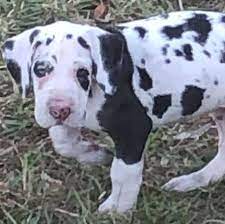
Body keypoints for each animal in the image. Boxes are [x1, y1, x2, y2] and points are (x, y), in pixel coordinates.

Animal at [2, 10, 225, 214]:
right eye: (41, 70)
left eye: (82, 73)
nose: (59, 109)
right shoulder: (72, 118)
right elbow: (63, 142)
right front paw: (95, 154)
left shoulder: (133, 130)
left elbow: (123, 173)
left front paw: (118, 209)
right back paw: (195, 180)